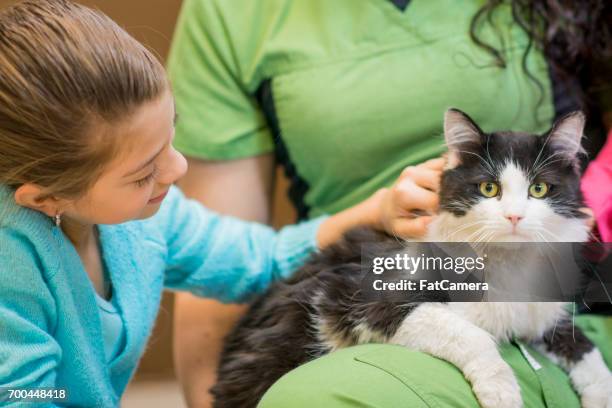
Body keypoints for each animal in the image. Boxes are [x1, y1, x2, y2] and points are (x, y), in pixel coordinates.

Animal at [212, 110, 612, 408]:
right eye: (489, 188)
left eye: (539, 189)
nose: (514, 216)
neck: (507, 264)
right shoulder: (373, 301)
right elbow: (472, 336)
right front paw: (501, 391)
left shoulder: (544, 312)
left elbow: (585, 347)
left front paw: (602, 392)